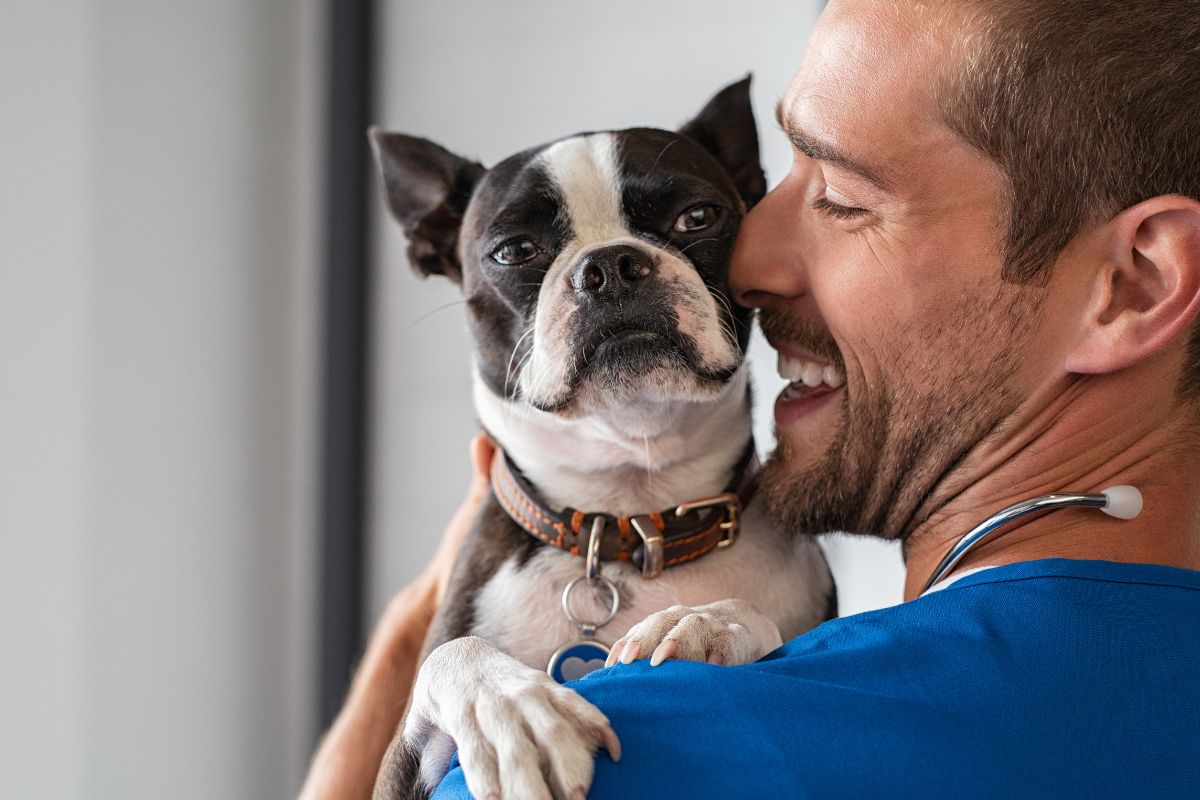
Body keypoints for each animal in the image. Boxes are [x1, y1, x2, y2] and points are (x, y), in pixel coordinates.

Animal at [369, 76, 830, 800]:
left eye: (698, 217)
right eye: (514, 251)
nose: (611, 264)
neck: (626, 517)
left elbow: (754, 616)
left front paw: (702, 623)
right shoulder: (395, 771)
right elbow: (452, 653)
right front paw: (510, 709)